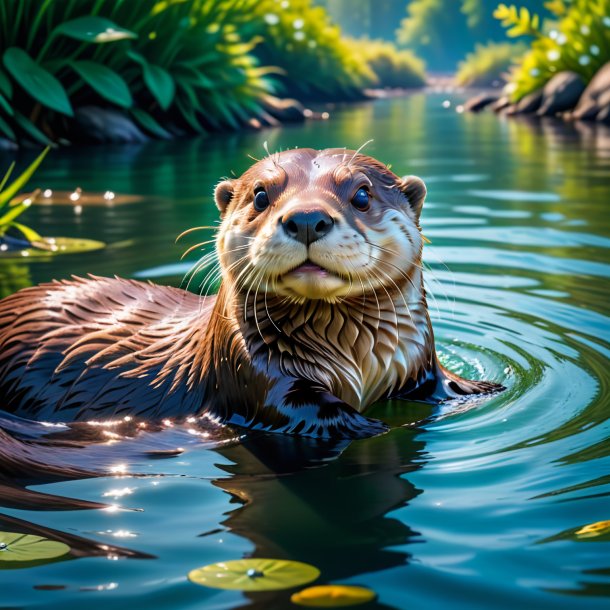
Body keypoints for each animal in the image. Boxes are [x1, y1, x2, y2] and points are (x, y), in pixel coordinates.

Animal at [0, 148, 502, 436]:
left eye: (361, 194)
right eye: (261, 195)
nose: (306, 218)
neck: (359, 363)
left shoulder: (416, 362)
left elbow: (440, 382)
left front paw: (478, 389)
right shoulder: (257, 372)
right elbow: (308, 411)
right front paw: (371, 425)